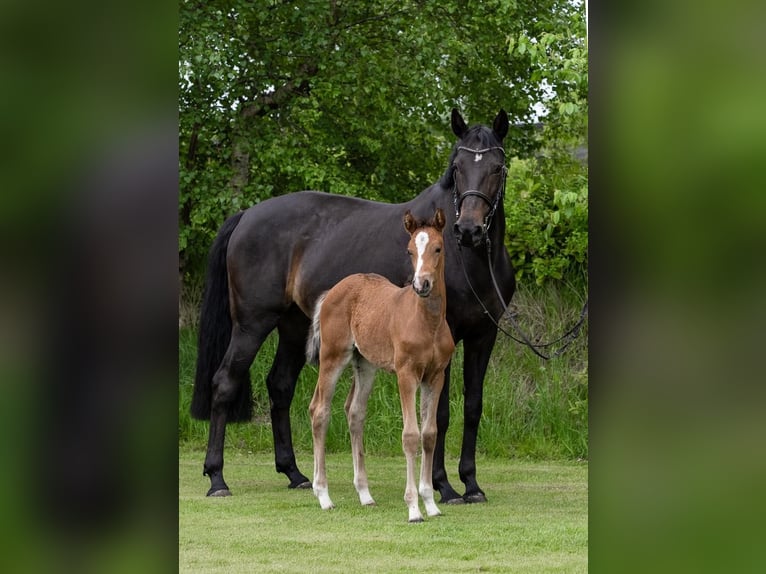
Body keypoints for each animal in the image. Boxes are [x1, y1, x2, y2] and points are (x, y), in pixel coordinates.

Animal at [307, 208, 455, 522]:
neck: (429, 322)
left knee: (354, 412)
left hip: (365, 364)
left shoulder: (435, 376)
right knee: (320, 411)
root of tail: (331, 291)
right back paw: (323, 495)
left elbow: (429, 435)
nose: (421, 285)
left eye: (438, 248)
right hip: (333, 356)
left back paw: (365, 494)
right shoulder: (406, 374)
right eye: (410, 250)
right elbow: (410, 436)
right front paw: (413, 508)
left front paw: (431, 503)